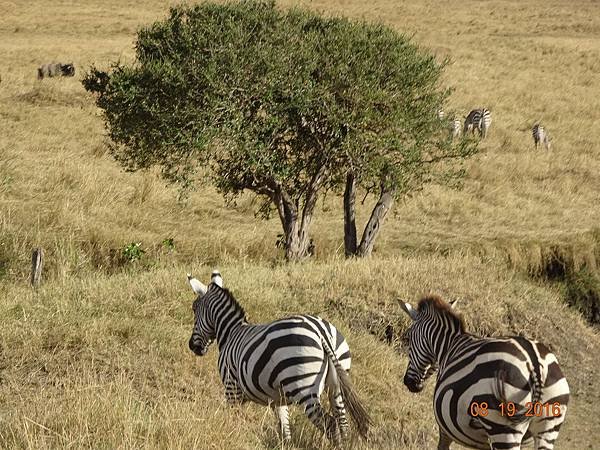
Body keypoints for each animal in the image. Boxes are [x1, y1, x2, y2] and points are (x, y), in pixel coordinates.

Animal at [188, 274, 370, 442]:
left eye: (194, 309)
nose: (192, 346)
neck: (230, 332)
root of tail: (321, 331)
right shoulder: (279, 398)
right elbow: (285, 429)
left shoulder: (231, 388)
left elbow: (233, 418)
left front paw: (232, 436)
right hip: (336, 383)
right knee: (343, 424)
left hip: (303, 387)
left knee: (330, 424)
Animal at [400, 296, 568, 450]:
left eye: (407, 337)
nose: (409, 383)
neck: (449, 346)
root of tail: (536, 363)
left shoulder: (445, 427)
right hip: (548, 429)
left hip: (503, 428)